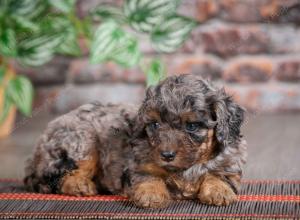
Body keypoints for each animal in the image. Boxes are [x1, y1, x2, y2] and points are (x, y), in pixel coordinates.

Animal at [24, 74, 246, 208]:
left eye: (191, 126)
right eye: (154, 124)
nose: (166, 155)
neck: (186, 168)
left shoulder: (231, 164)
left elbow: (219, 175)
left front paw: (219, 191)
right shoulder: (137, 164)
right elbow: (147, 176)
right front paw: (151, 194)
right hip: (82, 141)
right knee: (57, 176)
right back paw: (80, 185)